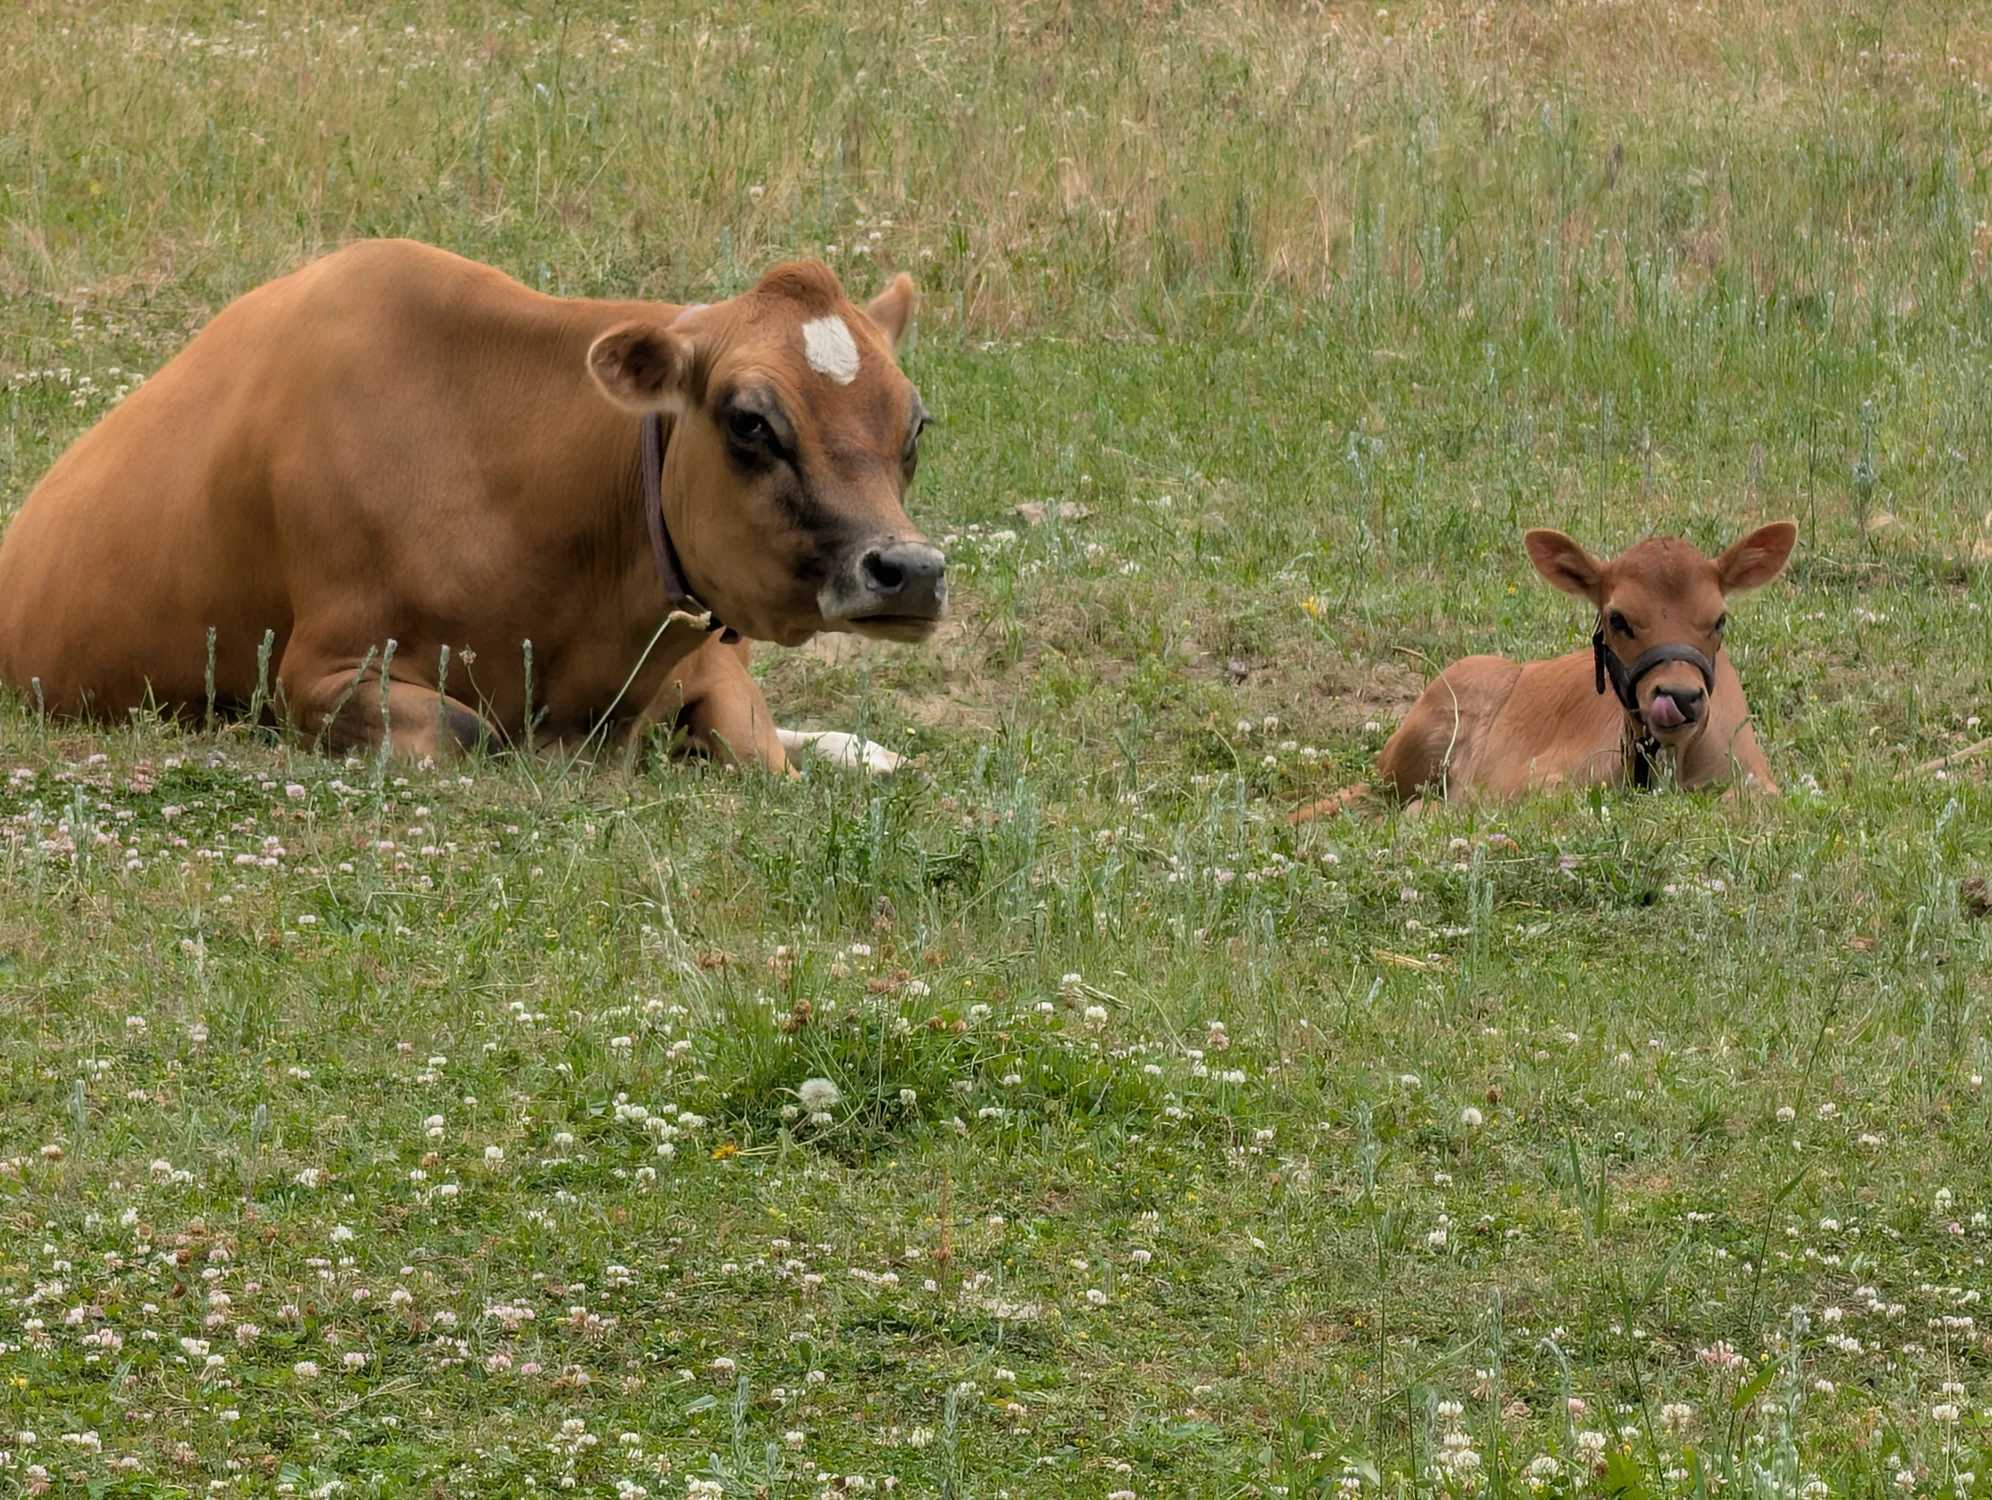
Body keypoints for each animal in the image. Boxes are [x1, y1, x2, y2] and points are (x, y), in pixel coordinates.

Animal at [0, 240, 946, 767]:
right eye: (750, 420)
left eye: (916, 423)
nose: (912, 569)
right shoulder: (317, 672)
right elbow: (468, 732)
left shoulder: (705, 648)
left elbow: (756, 746)